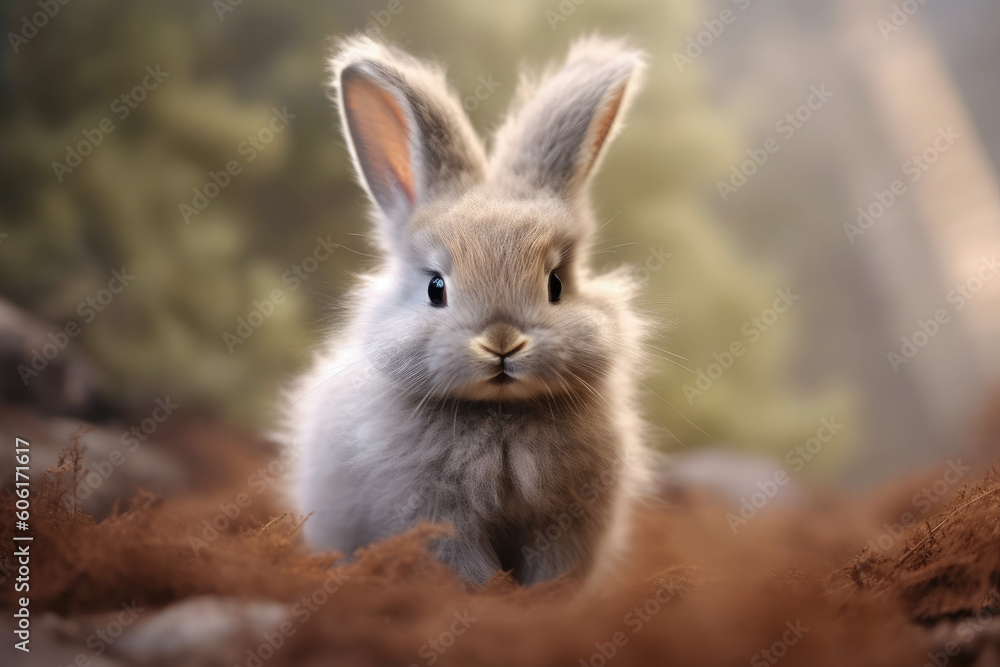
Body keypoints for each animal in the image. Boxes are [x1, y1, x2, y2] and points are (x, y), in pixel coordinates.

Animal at [285, 34, 653, 586]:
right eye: (436, 287)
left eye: (556, 284)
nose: (502, 342)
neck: (498, 412)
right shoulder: (435, 516)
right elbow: (468, 575)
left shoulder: (565, 521)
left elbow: (555, 576)